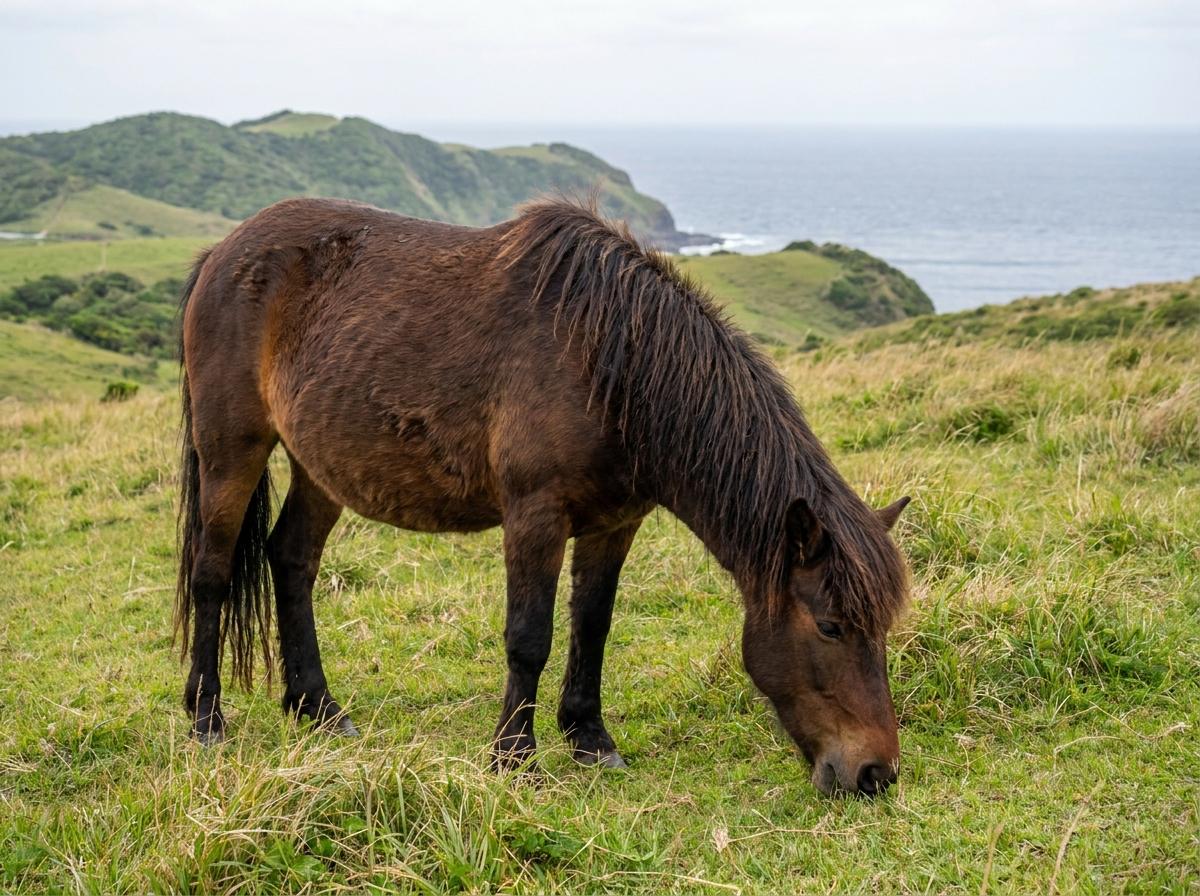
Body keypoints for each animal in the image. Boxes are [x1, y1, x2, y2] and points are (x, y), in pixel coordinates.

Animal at [174, 196, 911, 796]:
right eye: (830, 626)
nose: (875, 773)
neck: (612, 365)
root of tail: (222, 252)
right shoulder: (535, 514)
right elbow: (529, 636)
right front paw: (513, 758)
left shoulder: (615, 524)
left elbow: (593, 626)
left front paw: (590, 739)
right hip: (232, 449)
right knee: (212, 573)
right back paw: (207, 718)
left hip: (320, 467)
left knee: (291, 560)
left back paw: (318, 709)